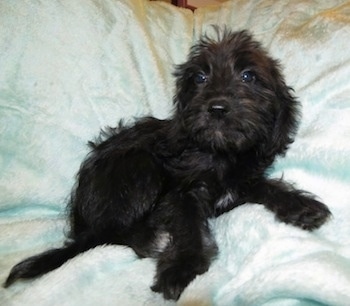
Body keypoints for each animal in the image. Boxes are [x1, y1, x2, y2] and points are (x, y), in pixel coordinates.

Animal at [4, 29, 330, 300]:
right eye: (200, 78)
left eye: (248, 76)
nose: (217, 107)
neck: (220, 153)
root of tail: (81, 219)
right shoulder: (181, 192)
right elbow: (188, 226)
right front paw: (182, 266)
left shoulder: (240, 182)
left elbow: (265, 185)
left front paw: (299, 205)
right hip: (140, 167)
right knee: (109, 233)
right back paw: (153, 239)